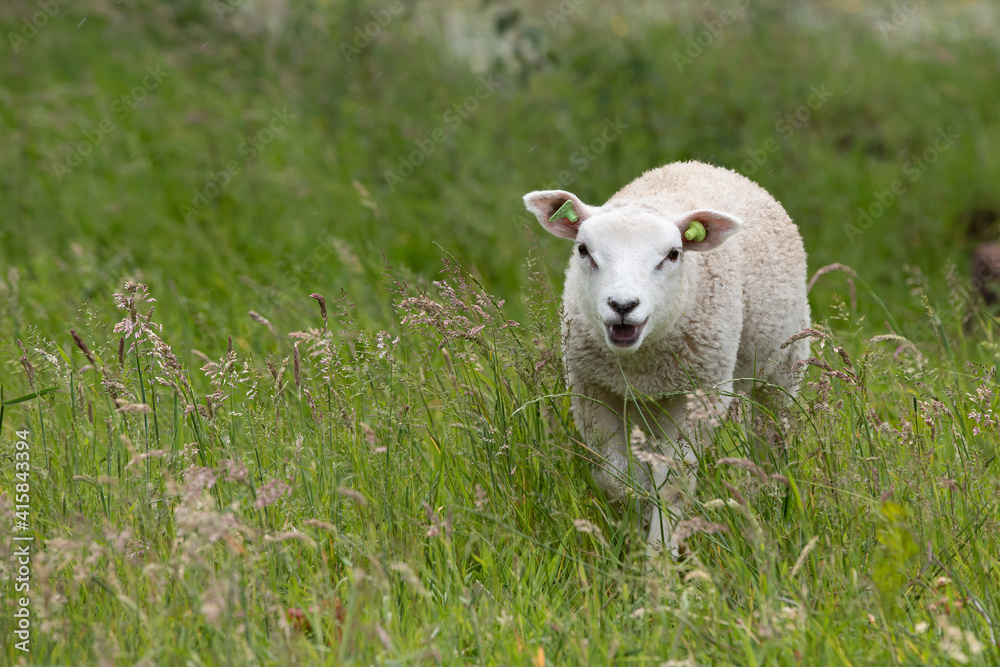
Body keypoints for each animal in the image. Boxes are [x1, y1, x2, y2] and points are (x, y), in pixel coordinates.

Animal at [523, 160, 810, 555]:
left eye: (673, 255)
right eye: (583, 249)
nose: (623, 305)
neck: (640, 359)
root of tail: (704, 164)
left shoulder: (700, 396)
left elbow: (673, 482)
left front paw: (659, 555)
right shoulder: (592, 389)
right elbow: (615, 476)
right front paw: (634, 529)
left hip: (782, 364)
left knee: (772, 434)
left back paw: (769, 493)